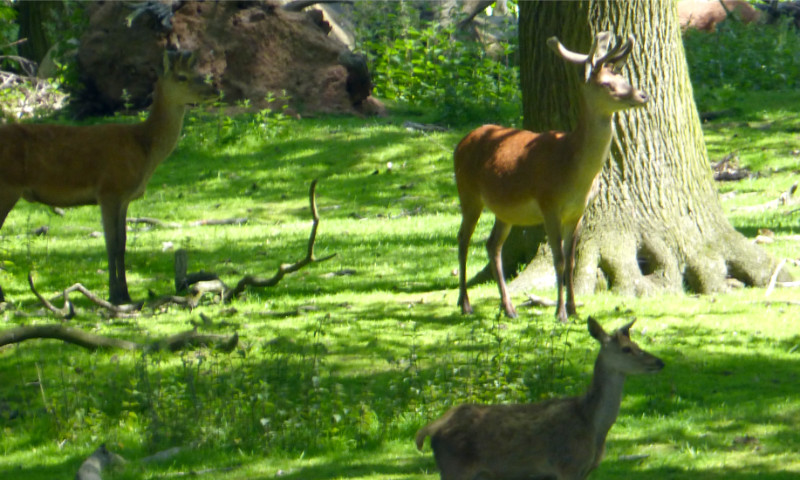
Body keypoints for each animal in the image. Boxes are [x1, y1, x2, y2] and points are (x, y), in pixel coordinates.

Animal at [0, 50, 216, 305]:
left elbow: (122, 243)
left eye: (198, 73)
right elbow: (111, 244)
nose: (214, 91)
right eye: (182, 77)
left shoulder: (124, 197)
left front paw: (125, 294)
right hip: (8, 186)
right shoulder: (109, 190)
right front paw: (115, 295)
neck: (145, 148)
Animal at [415, 317, 664, 480]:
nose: (659, 362)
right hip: (455, 467)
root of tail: (431, 429)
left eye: (636, 344)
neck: (593, 425)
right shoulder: (567, 465)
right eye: (626, 349)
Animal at [454, 32, 649, 322]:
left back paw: (508, 307)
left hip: (504, 210)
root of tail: (460, 143)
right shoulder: (549, 204)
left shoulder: (577, 212)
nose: (642, 95)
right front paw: (560, 313)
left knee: (492, 245)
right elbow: (558, 260)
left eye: (623, 77)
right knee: (463, 239)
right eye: (606, 83)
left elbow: (571, 261)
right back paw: (465, 303)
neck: (573, 169)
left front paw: (575, 309)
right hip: (468, 193)